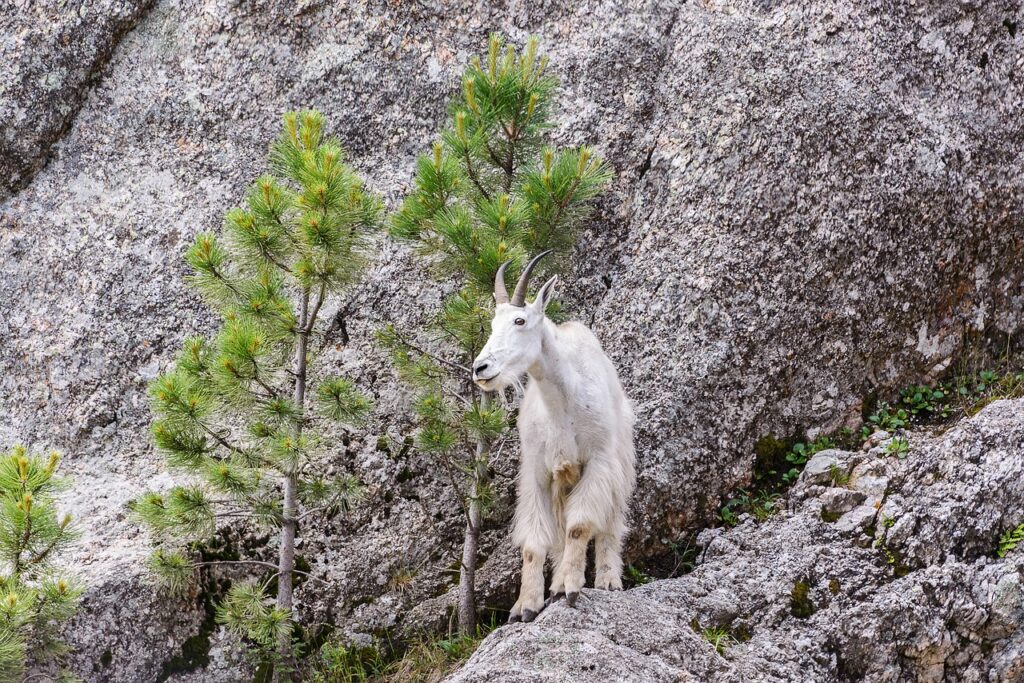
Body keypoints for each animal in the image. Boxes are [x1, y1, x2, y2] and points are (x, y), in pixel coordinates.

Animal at [472, 251, 636, 623]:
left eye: (520, 321)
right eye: (493, 325)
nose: (481, 369)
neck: (562, 405)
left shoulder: (598, 461)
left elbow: (580, 525)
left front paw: (571, 588)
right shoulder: (539, 472)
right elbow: (535, 543)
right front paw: (526, 605)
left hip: (619, 459)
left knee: (609, 522)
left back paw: (606, 580)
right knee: (559, 535)